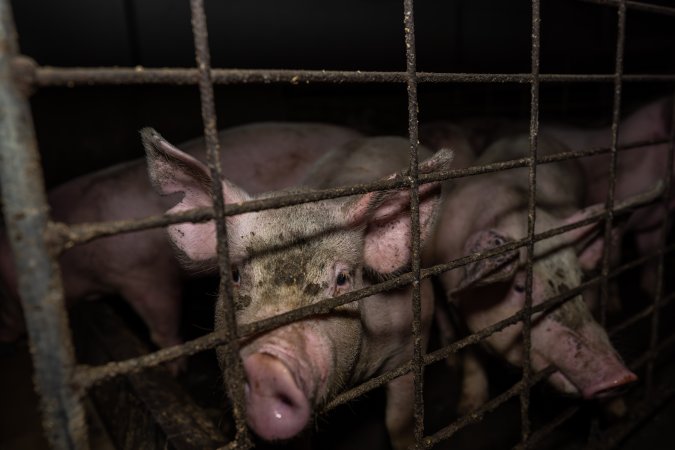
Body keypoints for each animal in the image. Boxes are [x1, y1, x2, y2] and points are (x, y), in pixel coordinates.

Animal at [430, 132, 640, 413]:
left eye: (580, 281)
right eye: (520, 287)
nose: (621, 377)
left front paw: (619, 411)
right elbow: (472, 353)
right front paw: (468, 408)